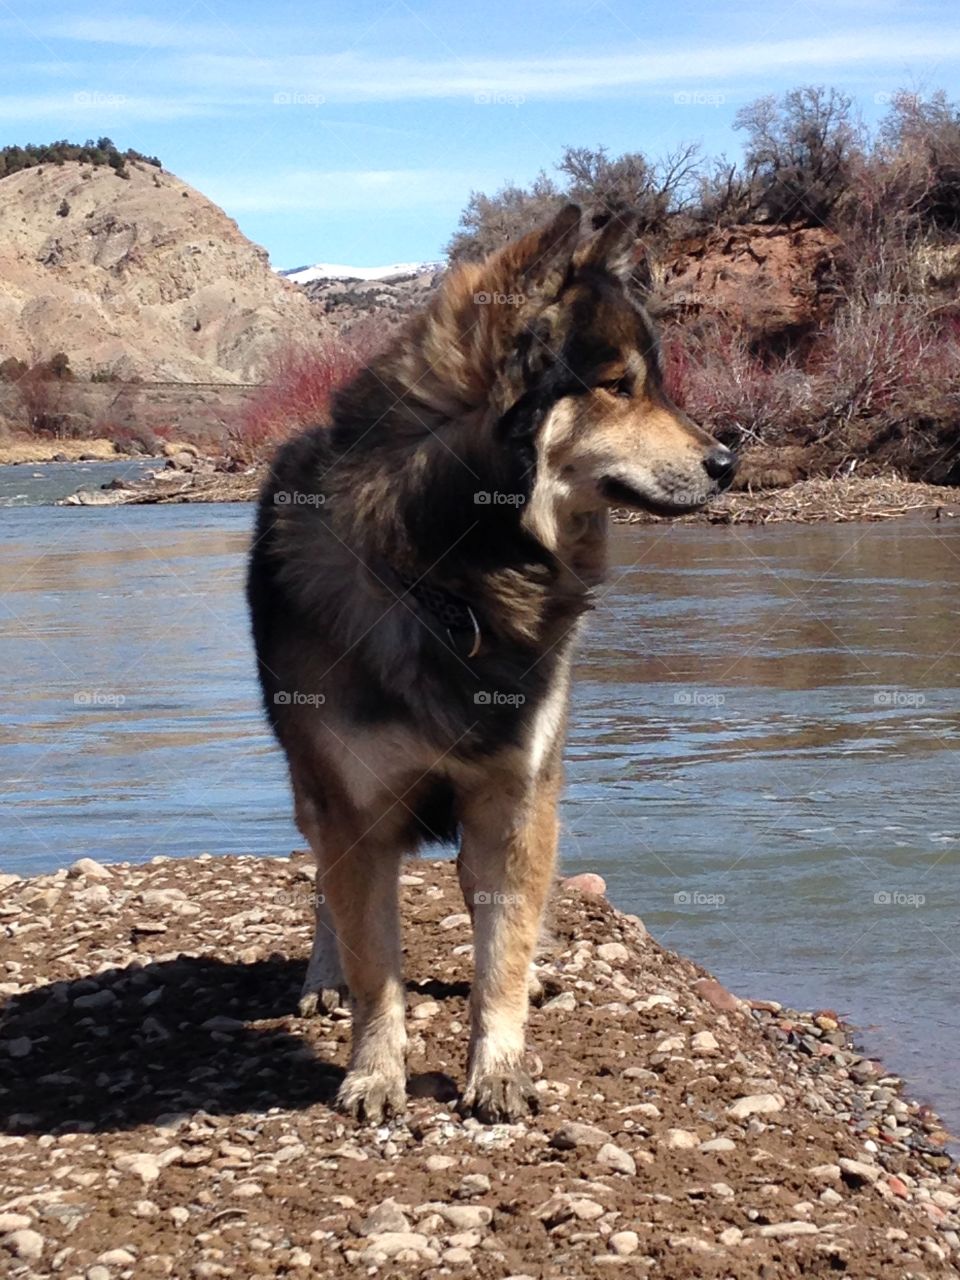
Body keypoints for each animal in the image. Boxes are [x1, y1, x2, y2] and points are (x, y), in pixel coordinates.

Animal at [247, 205, 736, 1124]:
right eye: (616, 384)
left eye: (651, 382)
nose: (729, 463)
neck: (454, 578)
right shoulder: (355, 805)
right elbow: (374, 961)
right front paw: (375, 1069)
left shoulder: (516, 792)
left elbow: (499, 947)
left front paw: (500, 1065)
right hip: (309, 786)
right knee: (323, 889)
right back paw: (324, 974)